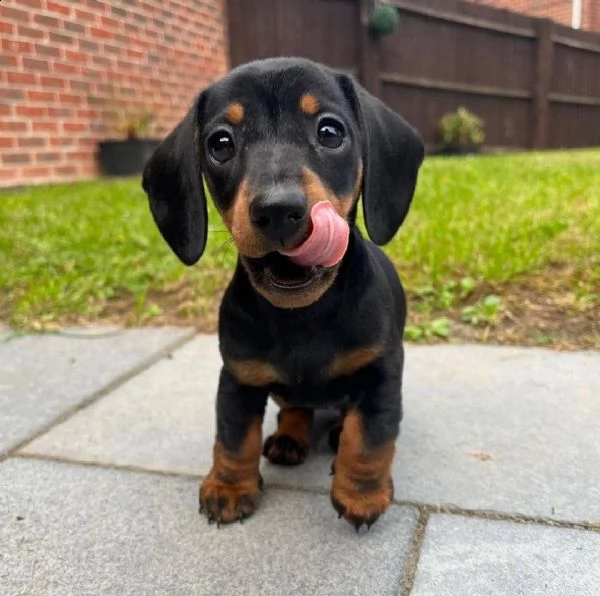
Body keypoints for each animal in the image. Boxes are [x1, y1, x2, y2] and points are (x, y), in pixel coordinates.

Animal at [142, 57, 424, 532]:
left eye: (330, 132)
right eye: (220, 143)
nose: (277, 210)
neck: (302, 315)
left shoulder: (381, 373)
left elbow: (369, 439)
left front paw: (361, 494)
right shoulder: (237, 377)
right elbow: (233, 437)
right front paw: (229, 487)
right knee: (295, 407)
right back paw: (290, 439)